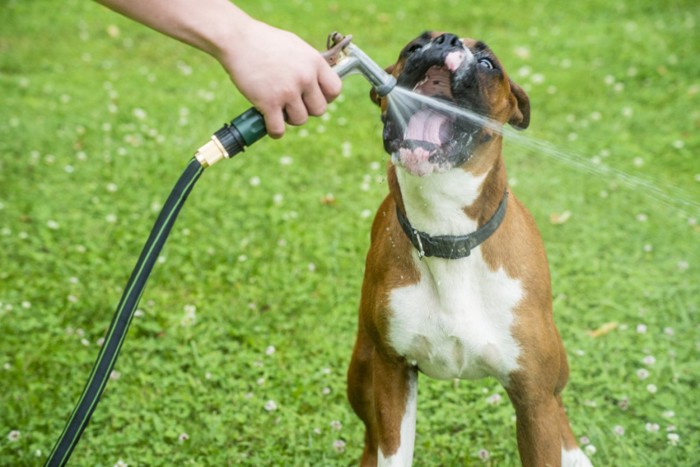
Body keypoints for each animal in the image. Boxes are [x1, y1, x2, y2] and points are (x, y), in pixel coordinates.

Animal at [348, 31, 592, 466]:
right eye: (413, 47)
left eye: (487, 63)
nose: (445, 40)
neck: (447, 233)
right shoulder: (392, 376)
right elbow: (392, 450)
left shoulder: (534, 400)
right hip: (362, 370)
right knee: (369, 439)